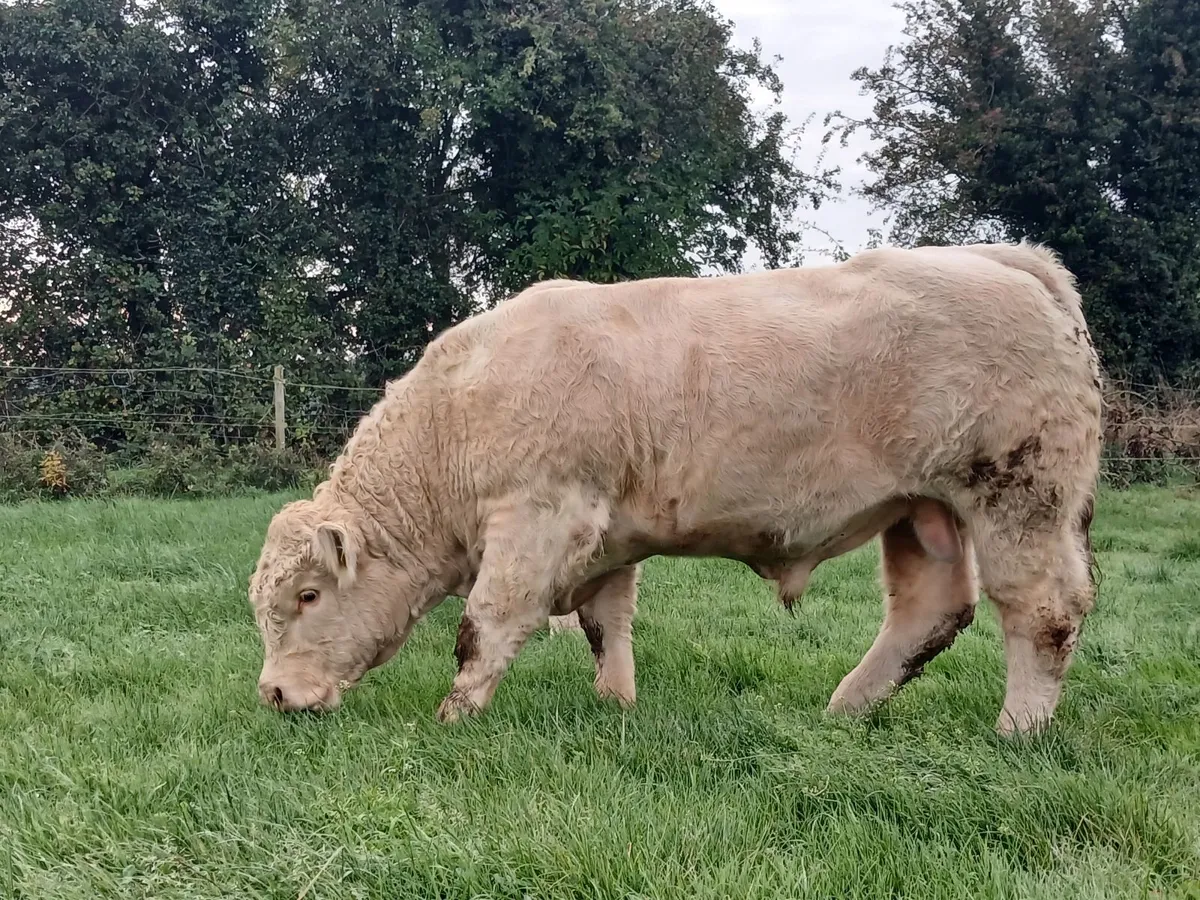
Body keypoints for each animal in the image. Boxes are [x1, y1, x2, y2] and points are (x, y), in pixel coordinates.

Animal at [249, 241, 1103, 736]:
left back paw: (1017, 730)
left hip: (1018, 496)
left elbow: (485, 626)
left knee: (1043, 612)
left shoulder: (538, 517)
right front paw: (615, 706)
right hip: (922, 511)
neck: (457, 409)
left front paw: (453, 717)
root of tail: (1008, 259)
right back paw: (844, 709)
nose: (275, 695)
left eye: (309, 596)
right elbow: (606, 624)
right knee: (928, 612)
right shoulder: (606, 538)